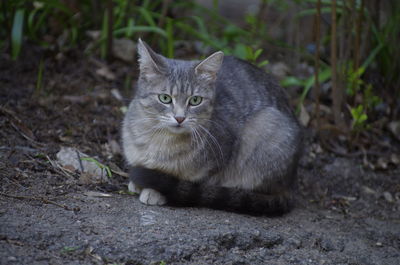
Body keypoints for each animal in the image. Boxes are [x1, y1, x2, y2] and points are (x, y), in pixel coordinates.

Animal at [120, 38, 302, 214]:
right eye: (165, 98)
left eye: (195, 100)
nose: (180, 118)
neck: (159, 140)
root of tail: (291, 181)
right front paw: (137, 184)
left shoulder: (216, 164)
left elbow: (186, 185)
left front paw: (154, 191)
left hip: (266, 125)